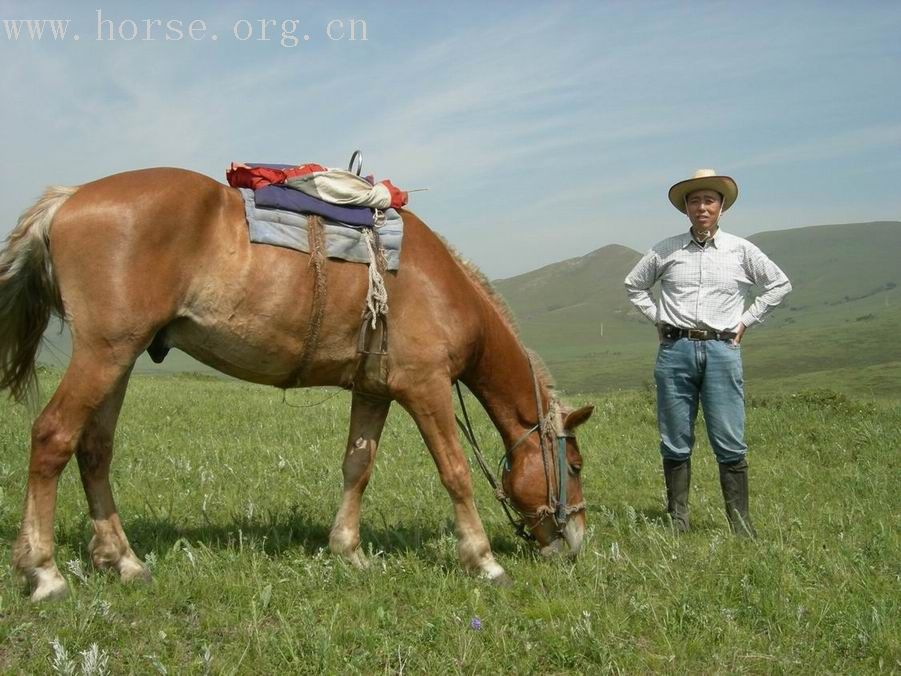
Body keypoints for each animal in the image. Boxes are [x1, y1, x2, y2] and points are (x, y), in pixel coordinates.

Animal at [0, 169, 596, 604]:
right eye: (573, 466)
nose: (574, 541)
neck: (438, 286)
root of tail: (70, 198)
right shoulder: (426, 388)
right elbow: (455, 472)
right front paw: (483, 560)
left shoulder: (374, 390)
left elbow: (358, 467)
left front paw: (348, 551)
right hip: (102, 352)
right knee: (53, 436)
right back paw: (43, 572)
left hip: (120, 356)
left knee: (95, 450)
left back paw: (123, 561)